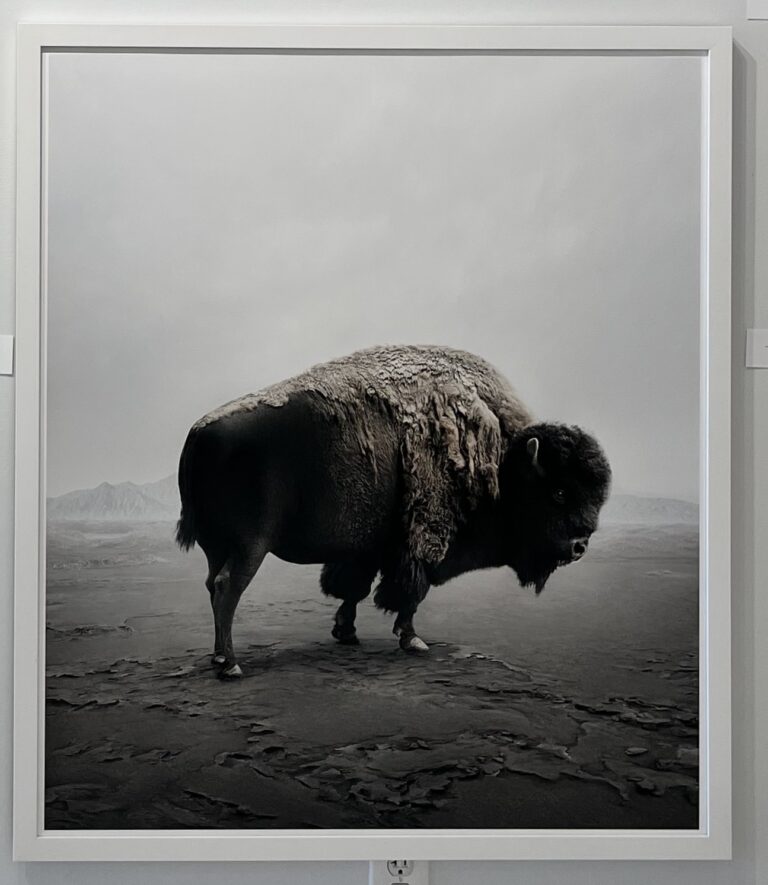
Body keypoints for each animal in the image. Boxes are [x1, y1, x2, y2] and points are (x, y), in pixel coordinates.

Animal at [176, 345, 611, 677]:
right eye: (559, 492)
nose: (579, 546)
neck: (502, 460)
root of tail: (199, 432)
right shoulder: (423, 541)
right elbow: (411, 591)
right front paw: (412, 640)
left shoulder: (367, 549)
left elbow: (353, 588)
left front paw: (346, 632)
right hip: (250, 547)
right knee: (227, 588)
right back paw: (231, 665)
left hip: (217, 546)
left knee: (211, 584)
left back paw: (218, 656)